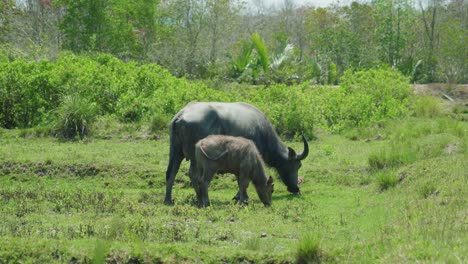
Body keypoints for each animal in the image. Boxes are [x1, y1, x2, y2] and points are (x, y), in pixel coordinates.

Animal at [163, 101, 308, 204]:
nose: (296, 188)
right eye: (298, 165)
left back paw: (168, 200)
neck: (262, 131)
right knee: (193, 175)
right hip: (194, 157)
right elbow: (243, 181)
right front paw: (241, 197)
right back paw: (200, 199)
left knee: (171, 172)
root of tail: (180, 116)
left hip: (175, 151)